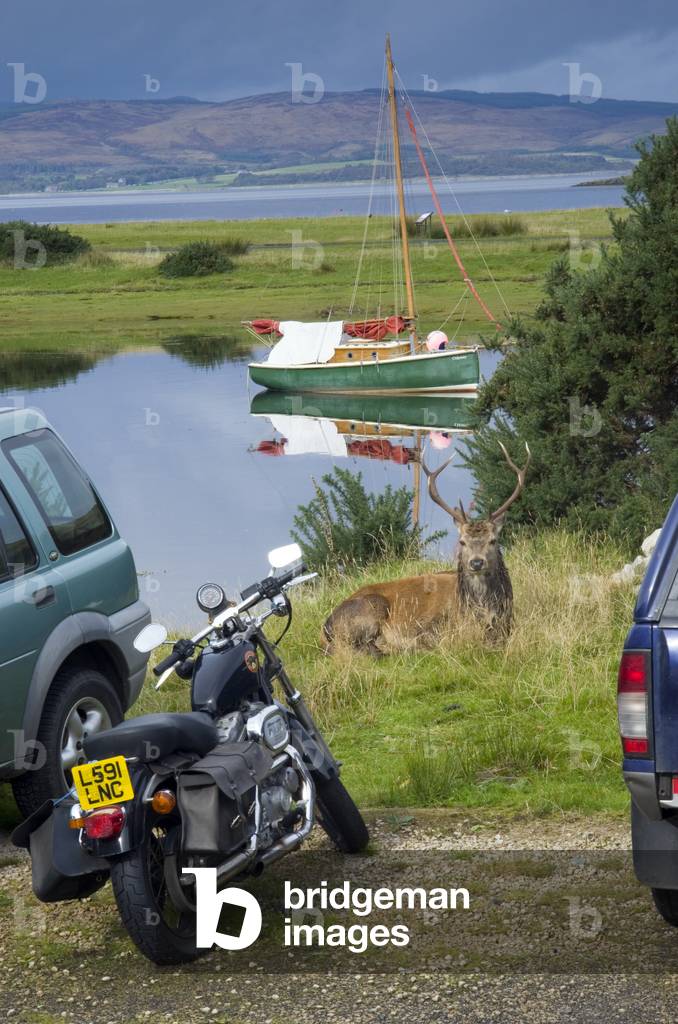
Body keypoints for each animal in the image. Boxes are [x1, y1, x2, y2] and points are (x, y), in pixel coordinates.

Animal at [322, 441, 531, 655]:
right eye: (462, 541)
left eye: (493, 540)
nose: (477, 562)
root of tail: (326, 627)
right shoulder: (429, 626)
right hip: (371, 607)